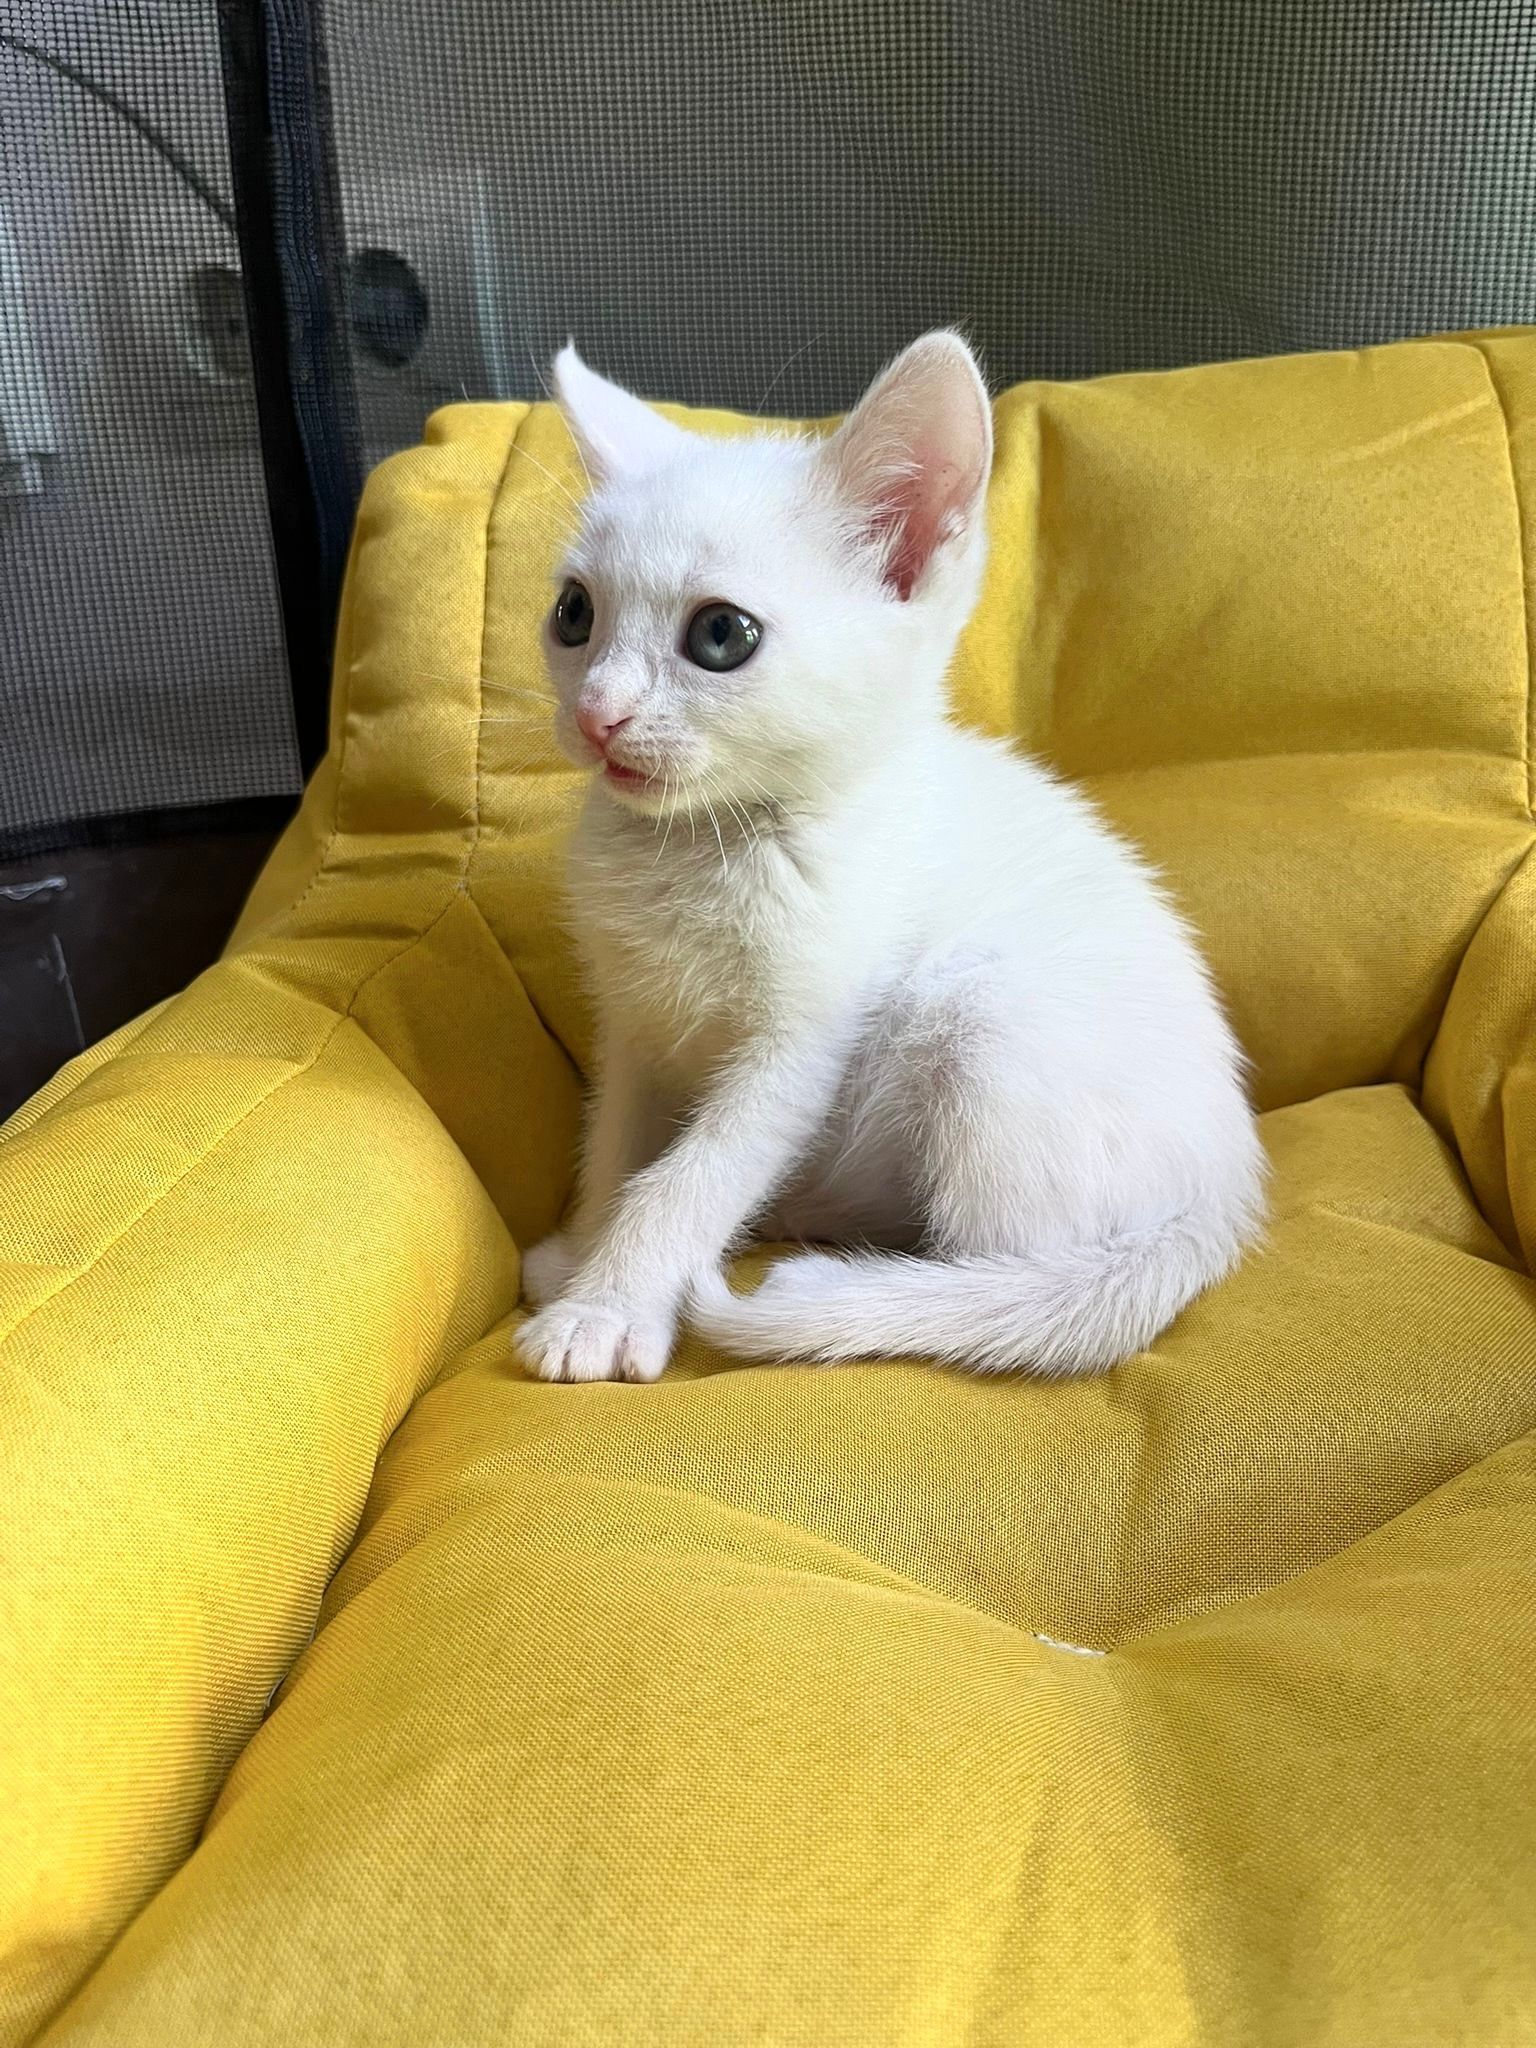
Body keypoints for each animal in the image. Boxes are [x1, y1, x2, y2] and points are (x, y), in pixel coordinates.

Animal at [515, 331, 1265, 1384]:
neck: (700, 845)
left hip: (984, 1010)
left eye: (721, 634)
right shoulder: (632, 1025)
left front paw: (607, 1307)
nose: (596, 715)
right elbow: (617, 1146)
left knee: (1006, 1257)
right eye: (574, 615)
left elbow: (689, 1176)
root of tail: (1225, 1193)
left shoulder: (803, 1042)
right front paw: (586, 1253)